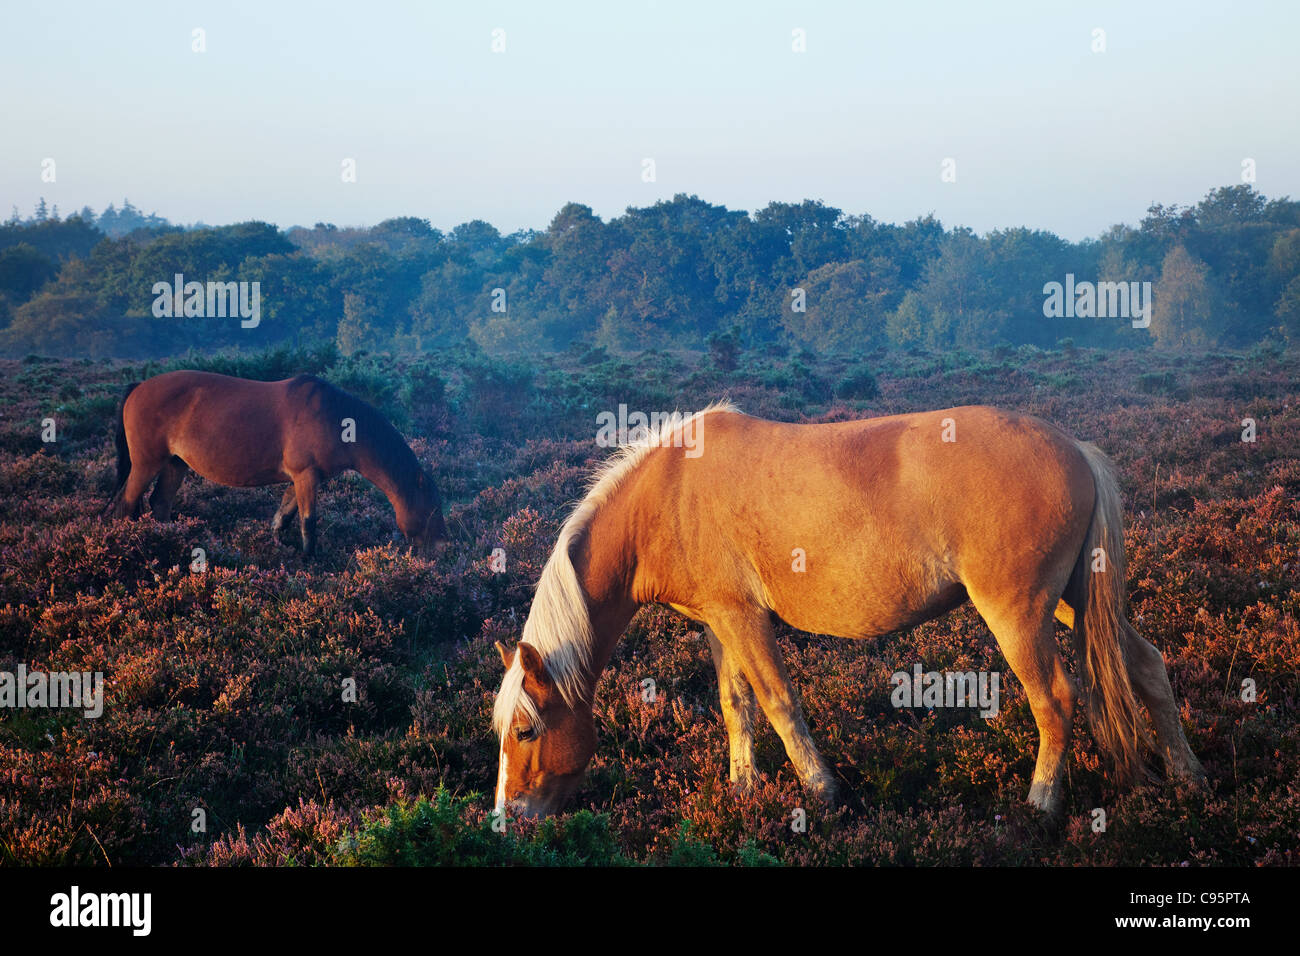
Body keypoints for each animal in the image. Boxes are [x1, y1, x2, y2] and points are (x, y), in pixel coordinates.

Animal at [104, 369, 447, 556]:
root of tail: (139, 387)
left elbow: (283, 517)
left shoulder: (302, 478)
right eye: (433, 509)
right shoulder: (305, 475)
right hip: (147, 463)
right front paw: (311, 561)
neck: (337, 419)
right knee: (126, 504)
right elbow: (308, 522)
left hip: (175, 464)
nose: (442, 546)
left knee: (159, 504)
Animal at [491, 405, 1201, 822]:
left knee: (1055, 698)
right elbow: (737, 705)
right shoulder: (720, 620)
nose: (507, 819)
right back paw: (1189, 778)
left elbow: (778, 701)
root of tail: (1076, 448)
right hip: (1075, 600)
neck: (667, 492)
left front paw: (822, 792)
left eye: (525, 732)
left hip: (1020, 611)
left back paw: (1042, 804)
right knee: (1147, 666)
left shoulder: (743, 618)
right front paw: (744, 791)